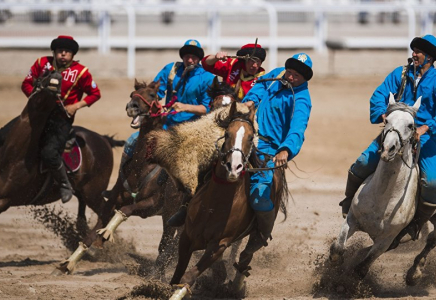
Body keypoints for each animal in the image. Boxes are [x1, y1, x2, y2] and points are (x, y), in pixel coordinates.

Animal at [0, 70, 124, 268]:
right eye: (43, 73)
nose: (55, 75)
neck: (14, 153)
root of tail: (103, 139)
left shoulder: (5, 199)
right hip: (83, 193)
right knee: (82, 220)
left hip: (94, 193)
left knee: (106, 214)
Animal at [55, 79, 182, 276]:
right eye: (132, 94)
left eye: (152, 95)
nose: (132, 107)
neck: (142, 168)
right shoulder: (112, 201)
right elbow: (91, 233)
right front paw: (69, 262)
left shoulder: (151, 204)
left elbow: (126, 210)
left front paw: (106, 234)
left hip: (172, 213)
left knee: (169, 243)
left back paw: (158, 272)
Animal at [167, 101, 290, 300]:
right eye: (226, 134)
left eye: (250, 137)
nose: (234, 167)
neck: (213, 206)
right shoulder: (186, 236)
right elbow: (178, 275)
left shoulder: (219, 245)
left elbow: (188, 277)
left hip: (257, 233)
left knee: (246, 256)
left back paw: (236, 287)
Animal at [330, 92, 422, 280]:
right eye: (386, 121)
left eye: (411, 125)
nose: (388, 149)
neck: (383, 196)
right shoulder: (352, 219)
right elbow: (338, 248)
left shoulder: (385, 240)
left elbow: (363, 267)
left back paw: (415, 272)